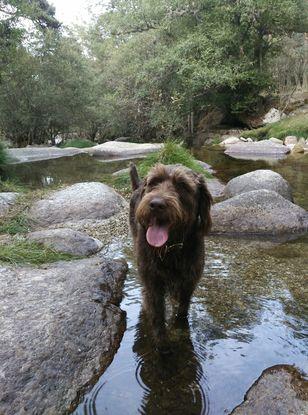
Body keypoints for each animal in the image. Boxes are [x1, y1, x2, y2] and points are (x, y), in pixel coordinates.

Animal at [129, 162, 213, 348]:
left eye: (182, 185)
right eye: (154, 182)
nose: (156, 204)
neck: (169, 249)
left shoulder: (189, 282)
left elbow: (182, 309)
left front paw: (180, 329)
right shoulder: (153, 283)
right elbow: (157, 316)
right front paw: (163, 347)